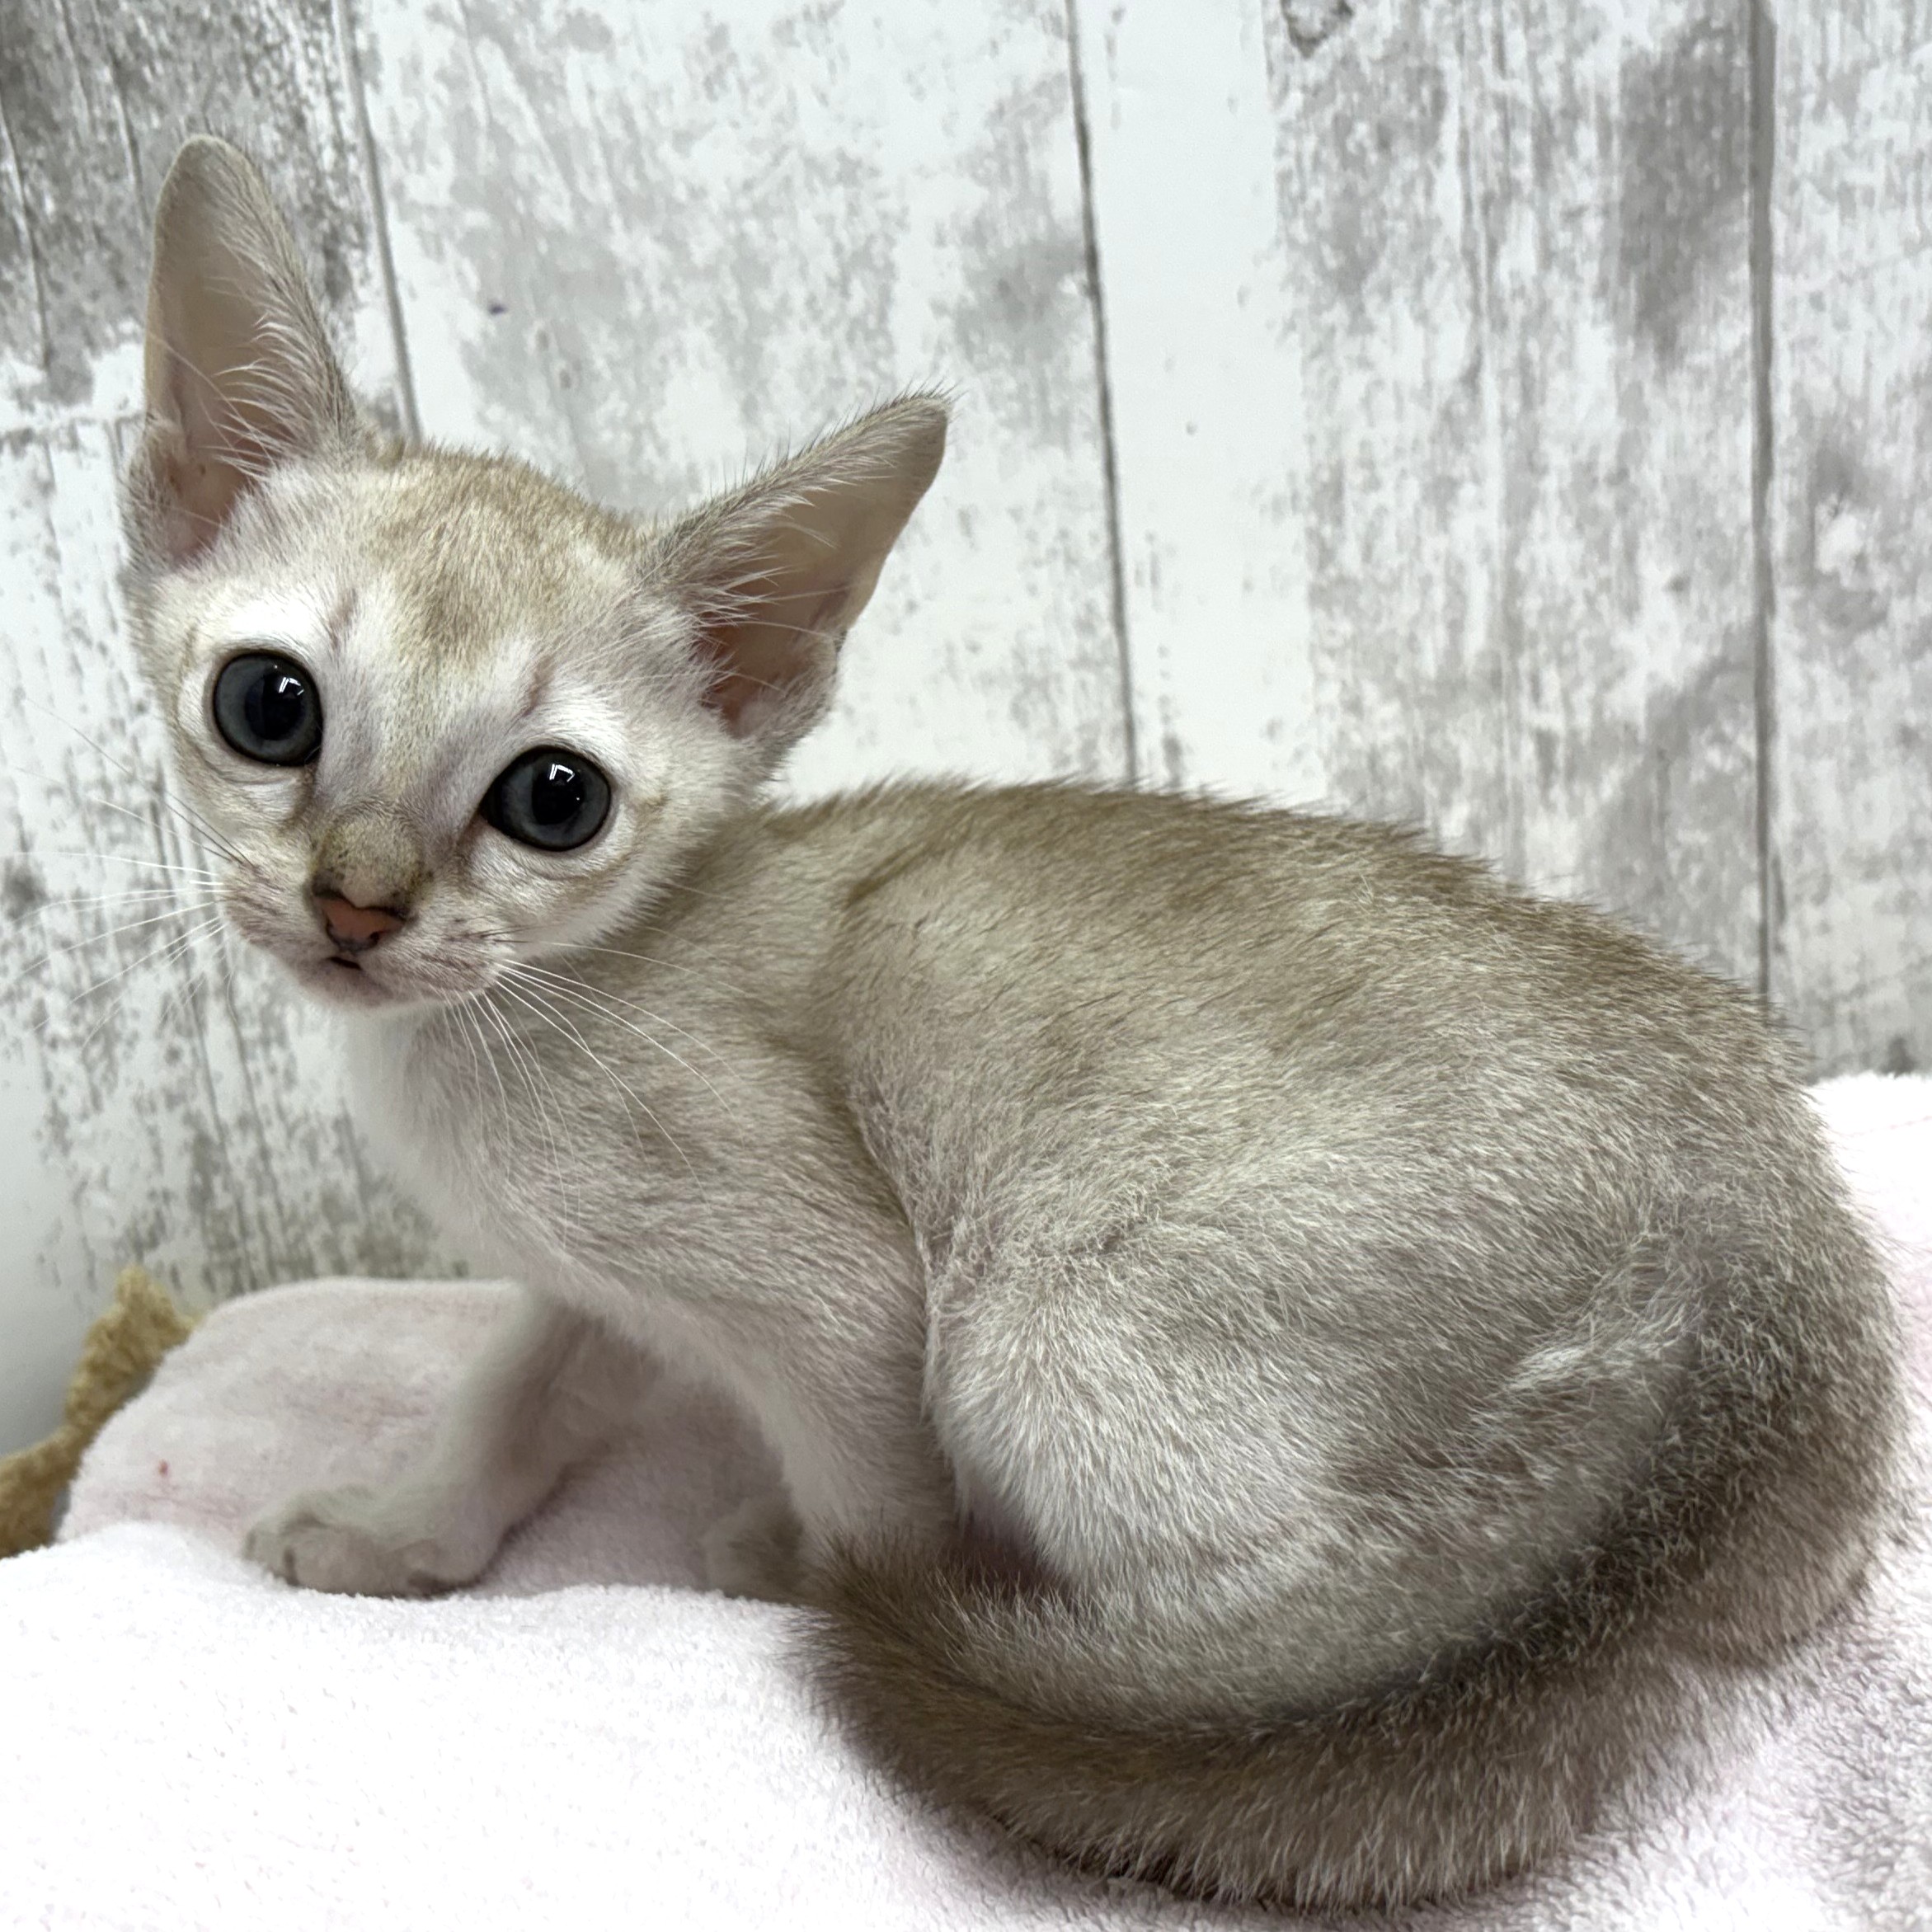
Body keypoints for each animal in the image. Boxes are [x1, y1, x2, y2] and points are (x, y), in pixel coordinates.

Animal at [120, 135, 1903, 1911]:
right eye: (268, 704)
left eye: (553, 798)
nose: (357, 905)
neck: (510, 1021)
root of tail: (1720, 1313)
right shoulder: (585, 1281)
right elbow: (512, 1387)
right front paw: (399, 1527)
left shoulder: (838, 1300)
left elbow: (866, 1508)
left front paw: (790, 1560)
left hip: (1030, 1332)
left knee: (1256, 1647)